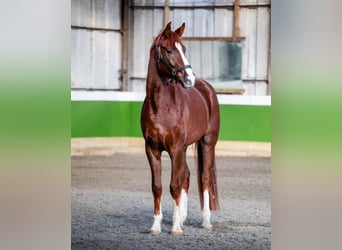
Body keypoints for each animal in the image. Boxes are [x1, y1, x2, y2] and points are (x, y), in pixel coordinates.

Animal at [140, 21, 220, 234]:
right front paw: (156, 226)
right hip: (184, 148)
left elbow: (174, 185)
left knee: (204, 178)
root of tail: (206, 88)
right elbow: (157, 186)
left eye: (183, 49)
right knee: (187, 176)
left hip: (207, 143)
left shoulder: (175, 148)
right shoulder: (152, 149)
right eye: (169, 50)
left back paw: (206, 221)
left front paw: (175, 228)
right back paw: (183, 217)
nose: (189, 78)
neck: (161, 107)